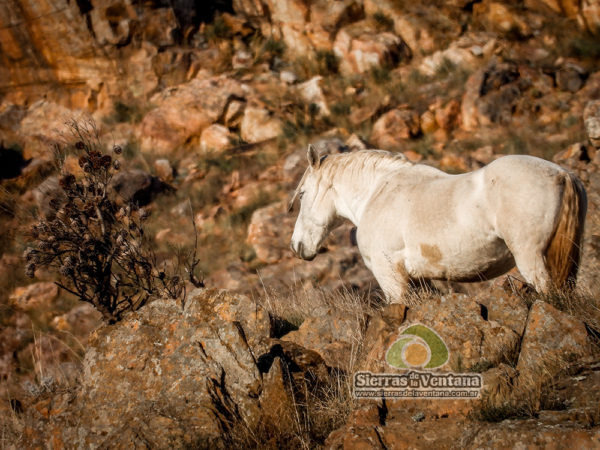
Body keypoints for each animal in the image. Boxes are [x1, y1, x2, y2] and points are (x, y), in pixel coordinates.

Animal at [290, 148, 584, 302]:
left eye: (302, 194)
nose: (297, 246)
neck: (378, 192)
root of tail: (562, 174)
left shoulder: (390, 278)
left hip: (531, 259)